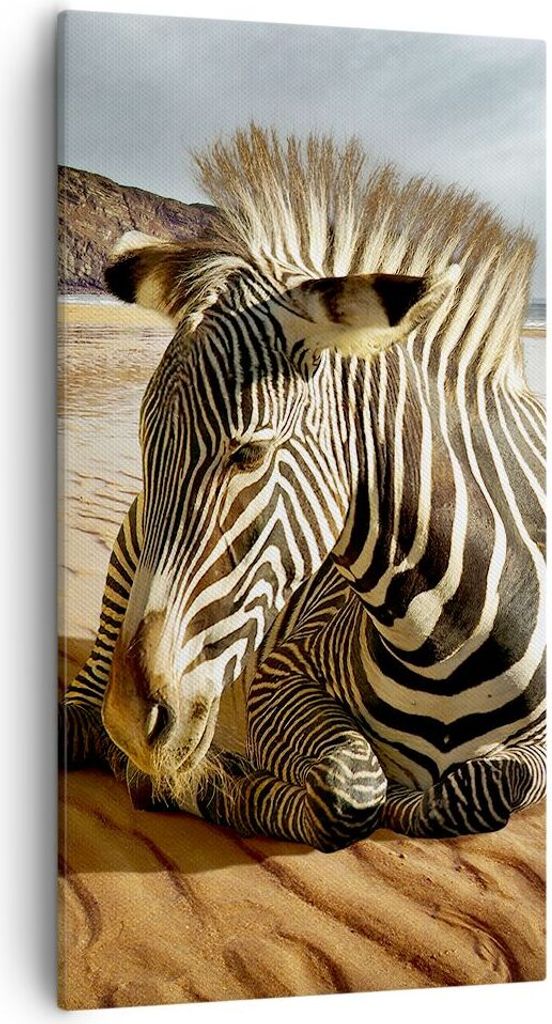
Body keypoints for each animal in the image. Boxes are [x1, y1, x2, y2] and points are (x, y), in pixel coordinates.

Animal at [60, 126, 546, 851]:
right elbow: (352, 787)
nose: (131, 722)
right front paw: (206, 784)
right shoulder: (282, 671)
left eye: (250, 453)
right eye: (145, 445)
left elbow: (485, 785)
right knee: (83, 706)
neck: (447, 639)